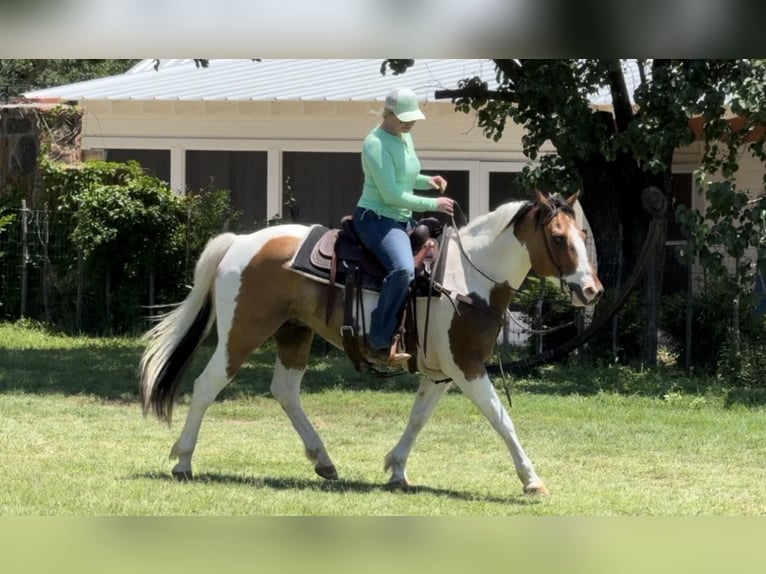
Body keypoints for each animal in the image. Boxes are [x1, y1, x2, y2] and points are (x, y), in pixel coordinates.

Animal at [140, 191, 608, 498]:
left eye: (580, 235)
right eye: (559, 238)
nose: (591, 291)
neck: (467, 278)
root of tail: (240, 242)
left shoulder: (440, 373)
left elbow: (418, 418)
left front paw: (397, 469)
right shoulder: (468, 366)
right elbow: (501, 419)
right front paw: (531, 479)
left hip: (294, 332)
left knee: (285, 391)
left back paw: (323, 460)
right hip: (242, 332)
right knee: (206, 386)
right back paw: (183, 461)